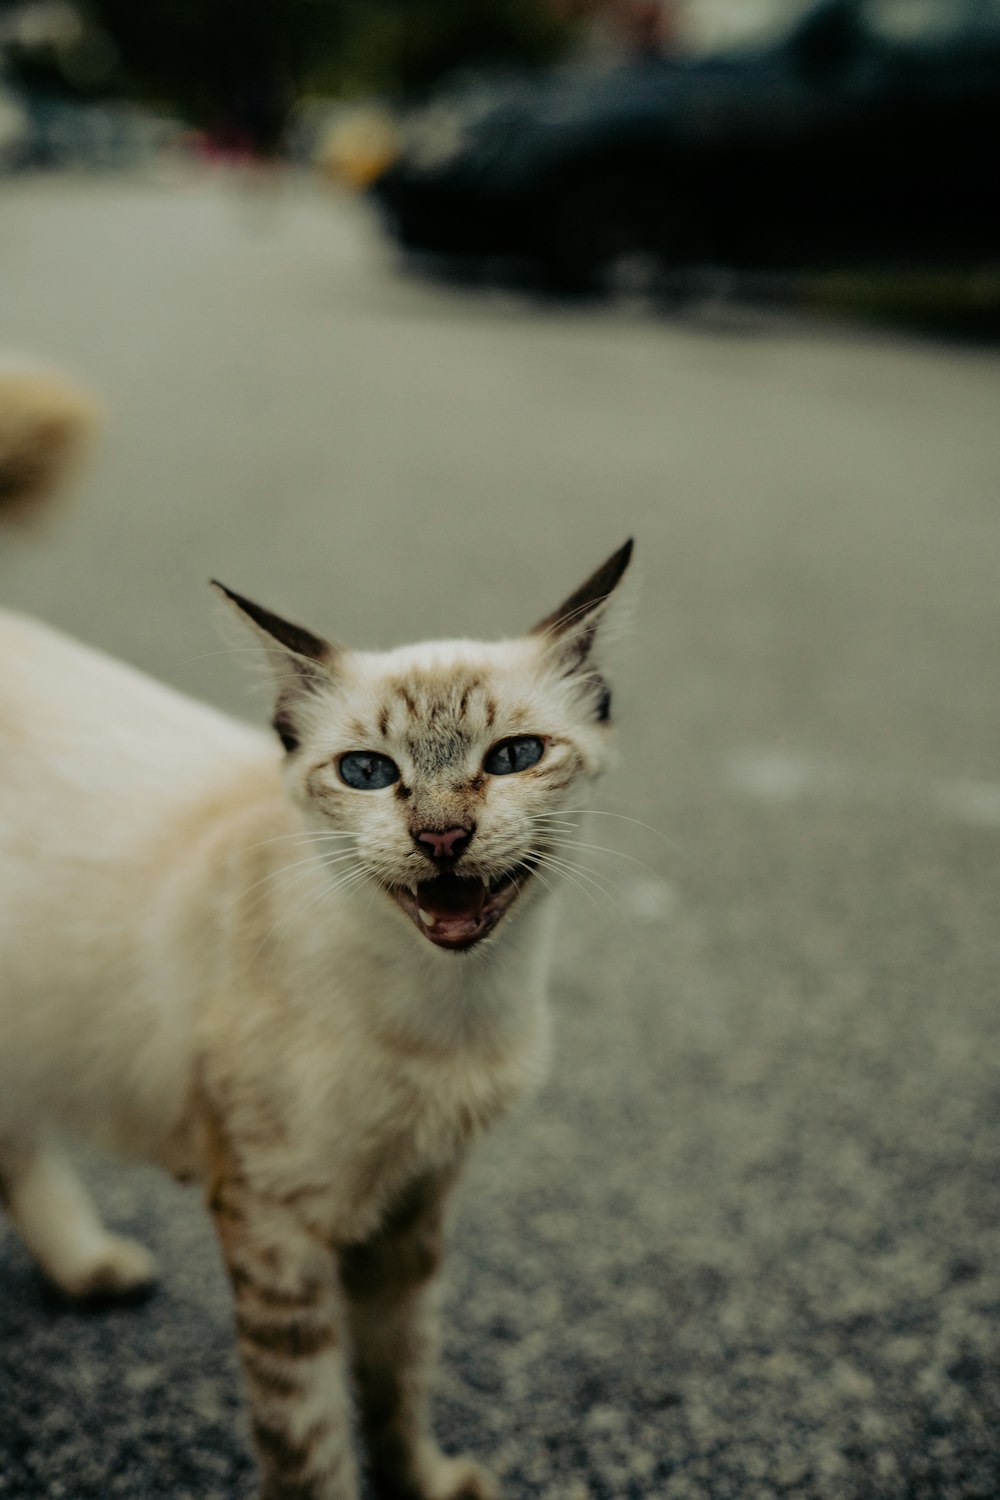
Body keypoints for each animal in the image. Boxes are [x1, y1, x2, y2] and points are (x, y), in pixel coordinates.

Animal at [1, 534, 632, 1500]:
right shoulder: (277, 1226)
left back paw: (84, 1266)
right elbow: (309, 1440)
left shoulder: (411, 1209)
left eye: (513, 756)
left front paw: (424, 1483)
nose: (441, 839)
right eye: (368, 772)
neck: (447, 1011)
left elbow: (398, 1382)